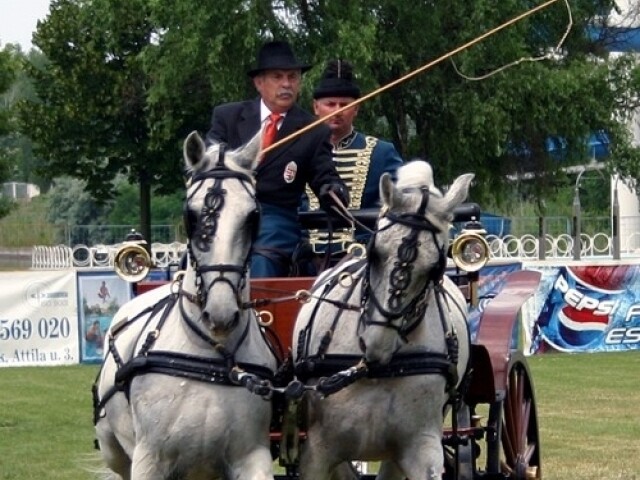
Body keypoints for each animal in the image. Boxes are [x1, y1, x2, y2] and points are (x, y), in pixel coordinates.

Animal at [92, 129, 278, 478]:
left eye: (253, 216)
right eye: (190, 216)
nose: (220, 312)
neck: (207, 353)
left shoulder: (251, 455)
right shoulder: (149, 460)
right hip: (114, 450)